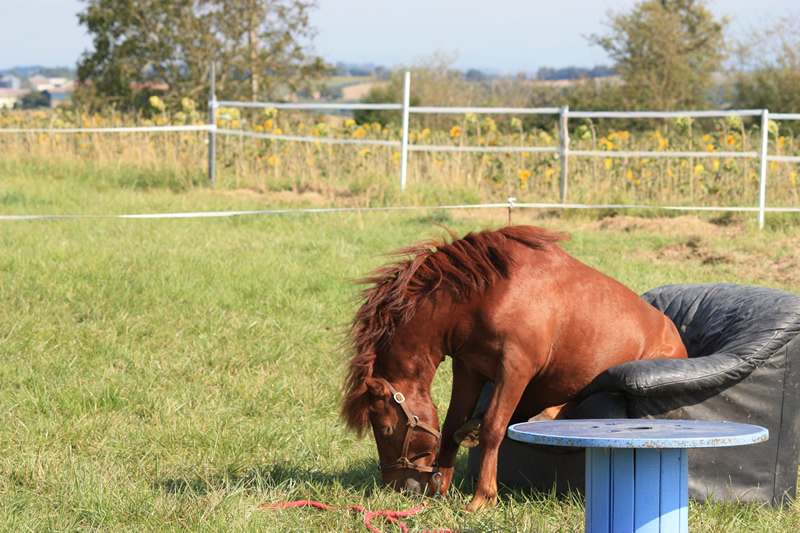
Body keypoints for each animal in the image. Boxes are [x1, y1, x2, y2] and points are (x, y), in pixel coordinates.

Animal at [340, 223, 684, 508]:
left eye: (385, 430)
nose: (400, 488)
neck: (489, 294)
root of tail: (672, 333)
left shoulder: (515, 368)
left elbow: (494, 428)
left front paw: (482, 498)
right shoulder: (468, 369)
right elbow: (450, 427)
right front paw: (444, 488)